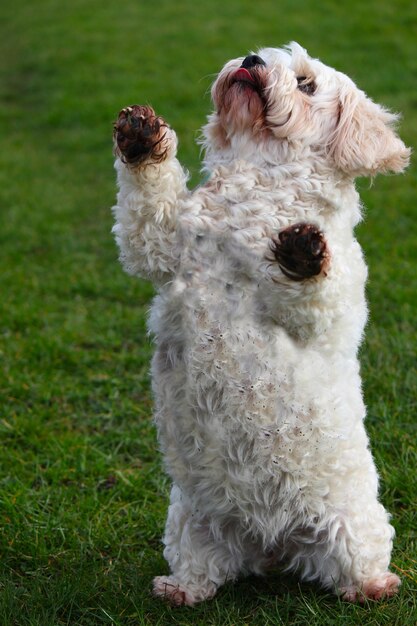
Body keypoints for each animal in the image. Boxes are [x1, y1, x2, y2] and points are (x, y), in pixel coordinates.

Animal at [111, 41, 410, 604]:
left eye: (307, 84)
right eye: (260, 54)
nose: (251, 61)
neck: (259, 184)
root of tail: (271, 545)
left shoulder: (331, 306)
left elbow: (316, 291)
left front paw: (302, 250)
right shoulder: (161, 244)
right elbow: (146, 208)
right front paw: (140, 135)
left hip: (354, 524)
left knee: (357, 565)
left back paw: (375, 586)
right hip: (189, 520)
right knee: (204, 570)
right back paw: (180, 589)